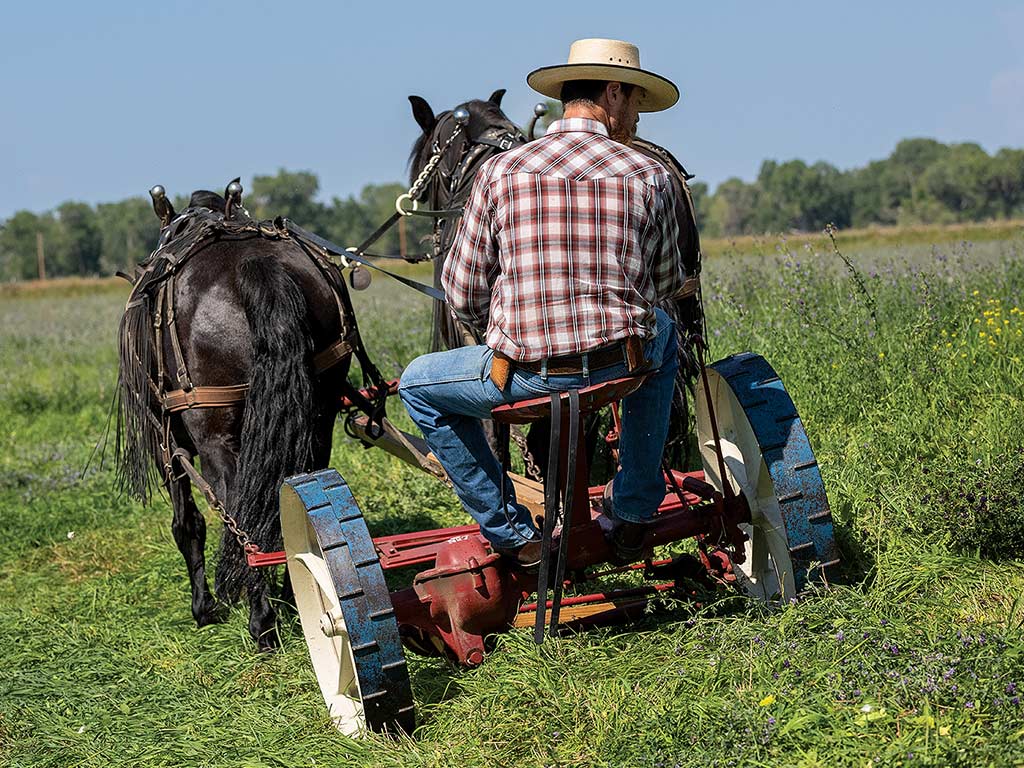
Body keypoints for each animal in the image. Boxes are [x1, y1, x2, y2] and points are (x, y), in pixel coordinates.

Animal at [116, 188, 354, 651]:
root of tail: (256, 264)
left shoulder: (165, 442)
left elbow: (187, 524)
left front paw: (205, 609)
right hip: (318, 419)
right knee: (296, 492)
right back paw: (296, 591)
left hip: (215, 438)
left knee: (239, 510)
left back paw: (262, 622)